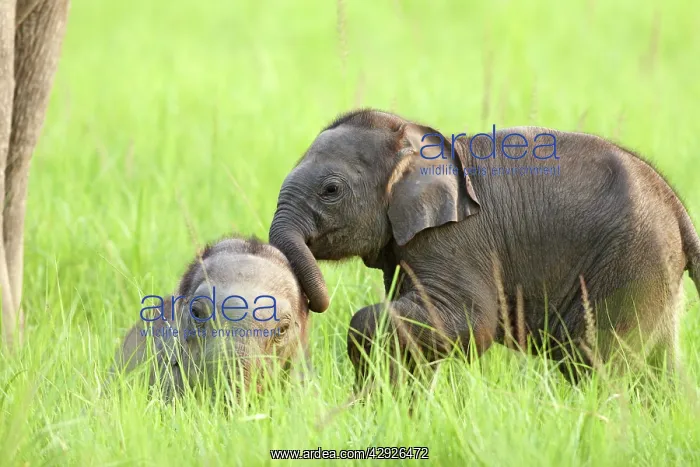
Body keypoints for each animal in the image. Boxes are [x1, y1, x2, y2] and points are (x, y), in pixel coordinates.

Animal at [268, 108, 700, 386]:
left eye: (331, 190)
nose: (311, 303)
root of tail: (678, 209)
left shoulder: (453, 240)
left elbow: (472, 323)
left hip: (632, 263)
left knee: (595, 360)